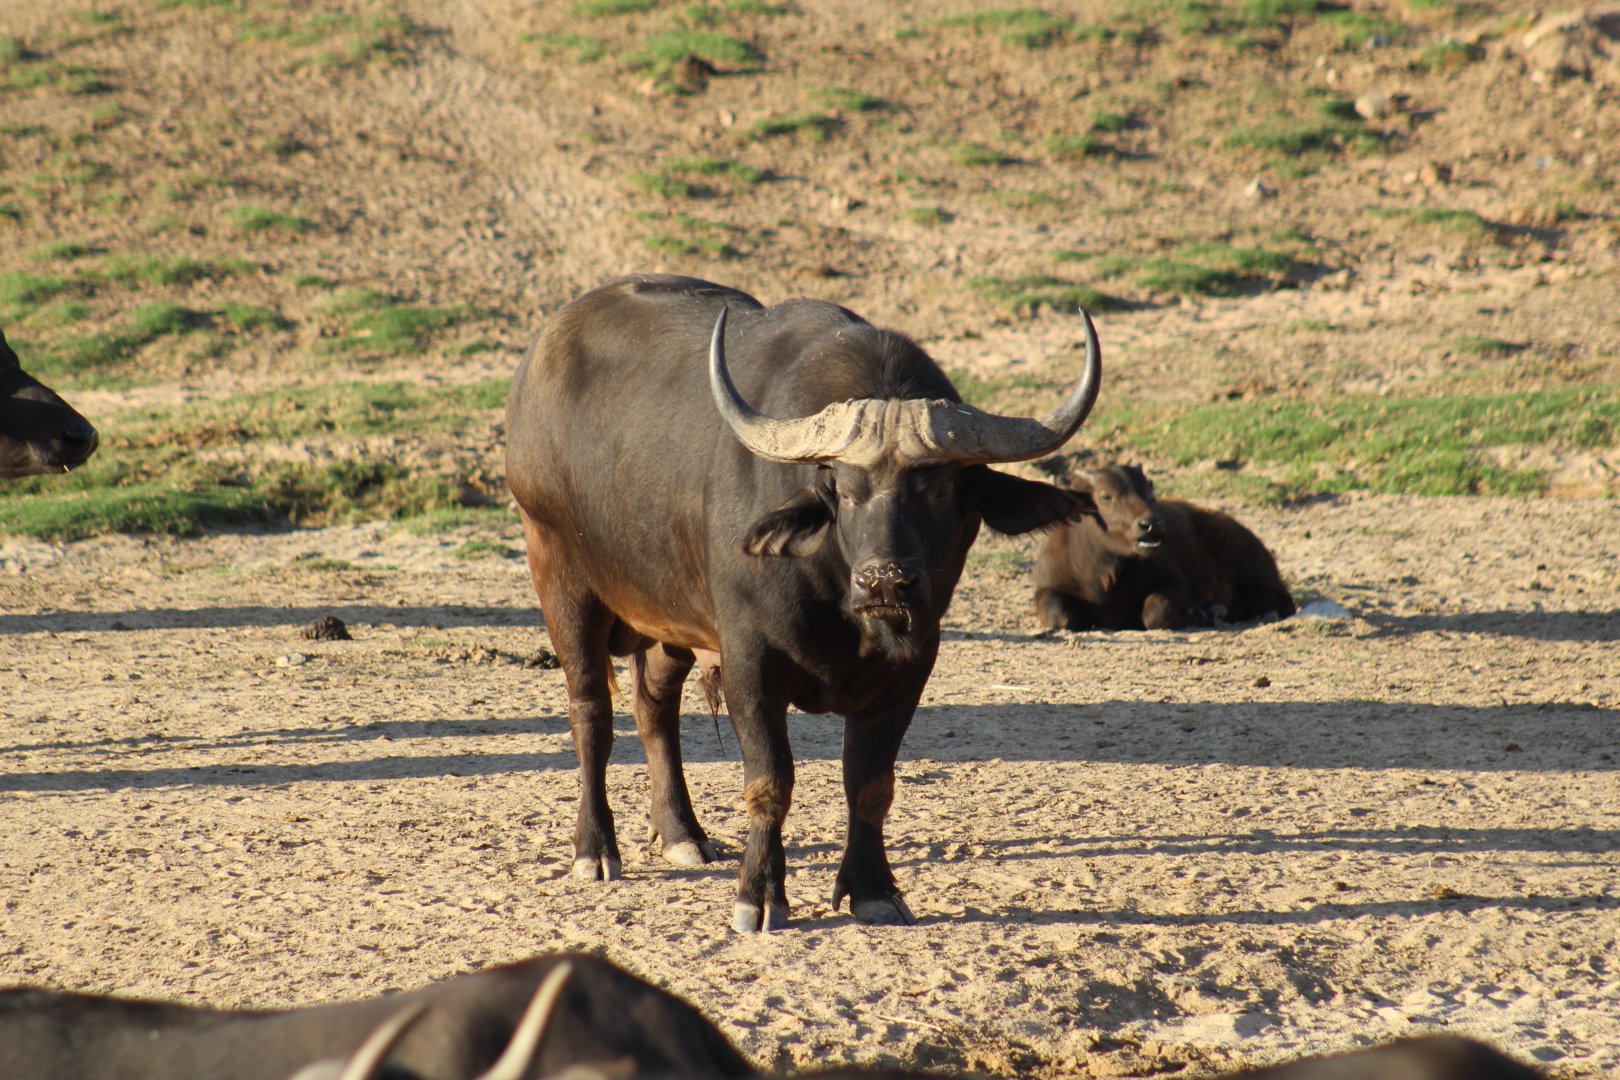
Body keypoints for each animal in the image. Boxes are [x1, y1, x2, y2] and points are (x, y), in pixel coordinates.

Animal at [506, 274, 1101, 931]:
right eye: (842, 488)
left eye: (941, 489)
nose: (885, 581)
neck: (840, 607)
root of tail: (540, 358)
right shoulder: (749, 663)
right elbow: (771, 780)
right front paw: (759, 894)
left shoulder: (910, 669)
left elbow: (870, 784)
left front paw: (874, 888)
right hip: (559, 576)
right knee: (590, 712)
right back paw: (595, 849)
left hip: (671, 614)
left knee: (653, 704)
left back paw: (683, 832)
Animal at [1033, 463, 1294, 631]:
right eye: (1106, 496)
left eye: (1149, 490)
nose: (1152, 524)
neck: (1104, 576)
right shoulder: (1047, 587)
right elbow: (1061, 616)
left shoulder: (1177, 585)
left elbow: (1156, 613)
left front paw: (1197, 615)